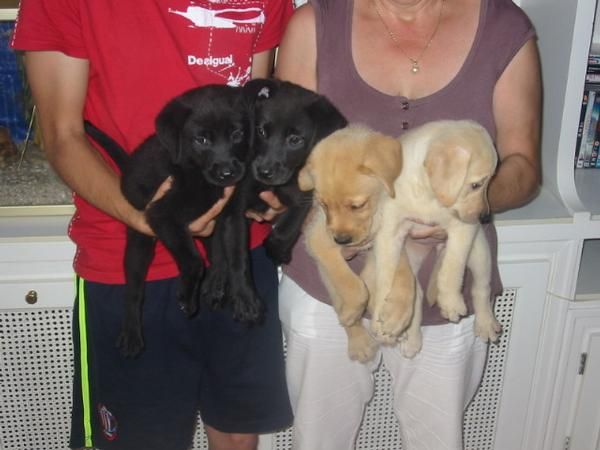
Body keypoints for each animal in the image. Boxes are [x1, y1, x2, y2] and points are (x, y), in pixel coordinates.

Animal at [84, 83, 253, 356]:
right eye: (201, 140)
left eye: (237, 134)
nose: (228, 173)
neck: (199, 176)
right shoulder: (163, 216)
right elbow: (194, 261)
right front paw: (187, 297)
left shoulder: (232, 216)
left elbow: (239, 258)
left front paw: (246, 299)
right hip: (140, 240)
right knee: (134, 288)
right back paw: (131, 333)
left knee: (217, 254)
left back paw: (216, 284)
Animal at [203, 79, 346, 312]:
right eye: (261, 131)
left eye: (295, 139)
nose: (264, 172)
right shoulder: (235, 210)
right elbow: (237, 256)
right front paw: (244, 298)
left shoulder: (303, 195)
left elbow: (287, 228)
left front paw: (278, 250)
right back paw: (216, 281)